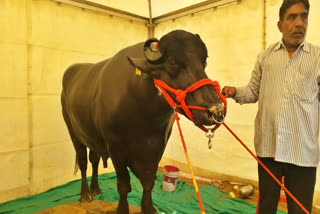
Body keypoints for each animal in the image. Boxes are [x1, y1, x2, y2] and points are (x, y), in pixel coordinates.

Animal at [60, 29, 225, 213]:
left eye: (204, 62)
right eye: (172, 62)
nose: (216, 110)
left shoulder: (157, 147)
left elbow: (148, 181)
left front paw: (149, 208)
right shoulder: (115, 148)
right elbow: (123, 184)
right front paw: (122, 209)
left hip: (92, 136)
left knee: (94, 159)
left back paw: (96, 188)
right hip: (72, 131)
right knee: (83, 162)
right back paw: (85, 195)